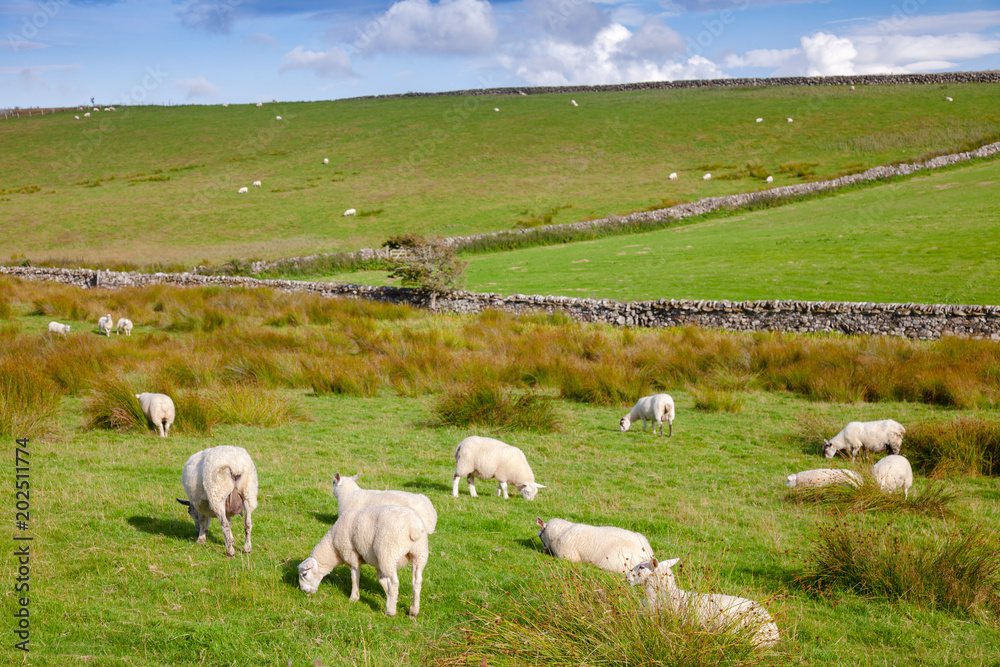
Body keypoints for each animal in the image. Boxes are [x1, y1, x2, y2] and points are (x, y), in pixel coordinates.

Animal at [298, 505, 428, 618]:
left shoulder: (351, 555)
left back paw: (390, 611)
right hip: (419, 554)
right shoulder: (377, 563)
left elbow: (355, 576)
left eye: (304, 574)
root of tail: (413, 527)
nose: (303, 591)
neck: (333, 547)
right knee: (417, 581)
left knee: (394, 582)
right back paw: (413, 611)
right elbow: (381, 580)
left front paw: (354, 598)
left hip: (388, 553)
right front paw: (392, 598)